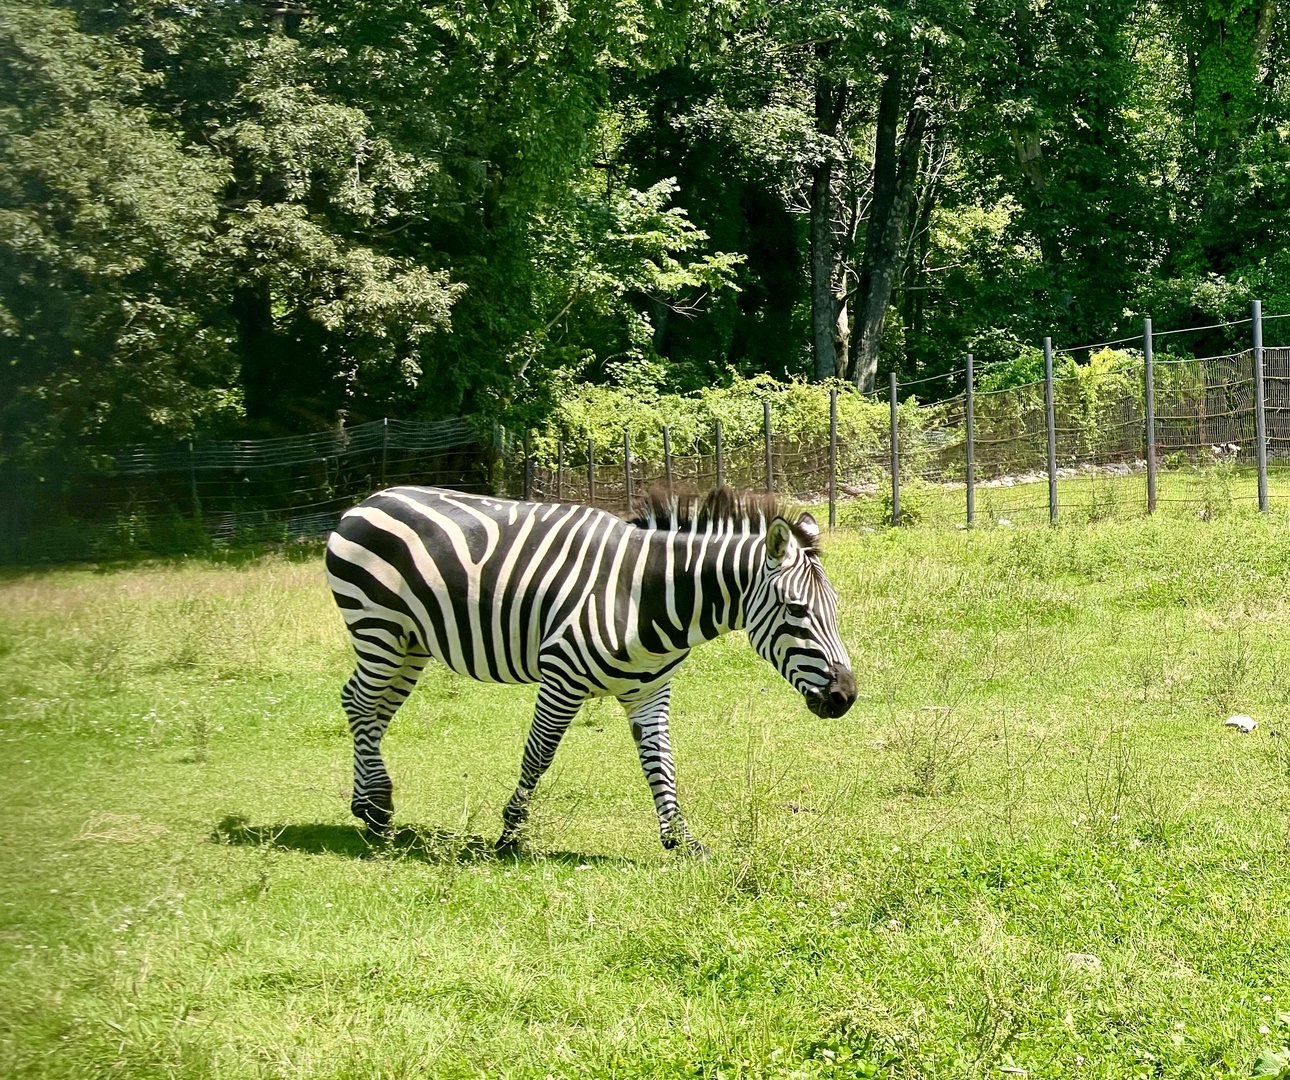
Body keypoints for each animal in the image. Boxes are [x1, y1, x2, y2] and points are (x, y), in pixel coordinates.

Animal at [325, 485, 856, 854]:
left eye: (834, 608)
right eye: (796, 610)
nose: (845, 696)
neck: (646, 597)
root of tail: (367, 500)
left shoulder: (650, 691)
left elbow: (661, 761)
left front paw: (681, 841)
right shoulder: (560, 678)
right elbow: (538, 756)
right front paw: (509, 835)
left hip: (411, 643)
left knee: (375, 711)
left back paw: (371, 805)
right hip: (378, 628)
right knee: (358, 702)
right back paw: (374, 809)